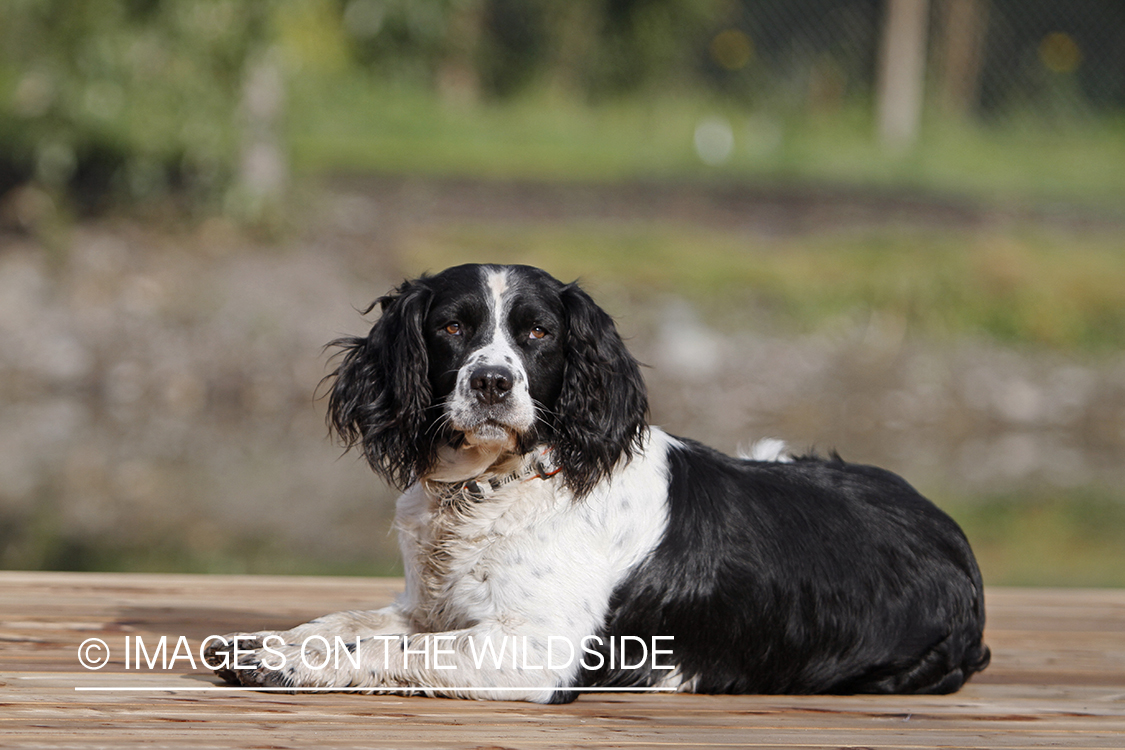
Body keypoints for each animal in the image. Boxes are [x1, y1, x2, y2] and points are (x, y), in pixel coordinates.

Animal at [207, 265, 990, 706]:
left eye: (539, 333)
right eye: (453, 327)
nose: (492, 383)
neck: (494, 487)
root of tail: (955, 536)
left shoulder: (536, 650)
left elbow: (387, 649)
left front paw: (285, 660)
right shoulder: (432, 607)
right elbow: (345, 623)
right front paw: (267, 642)